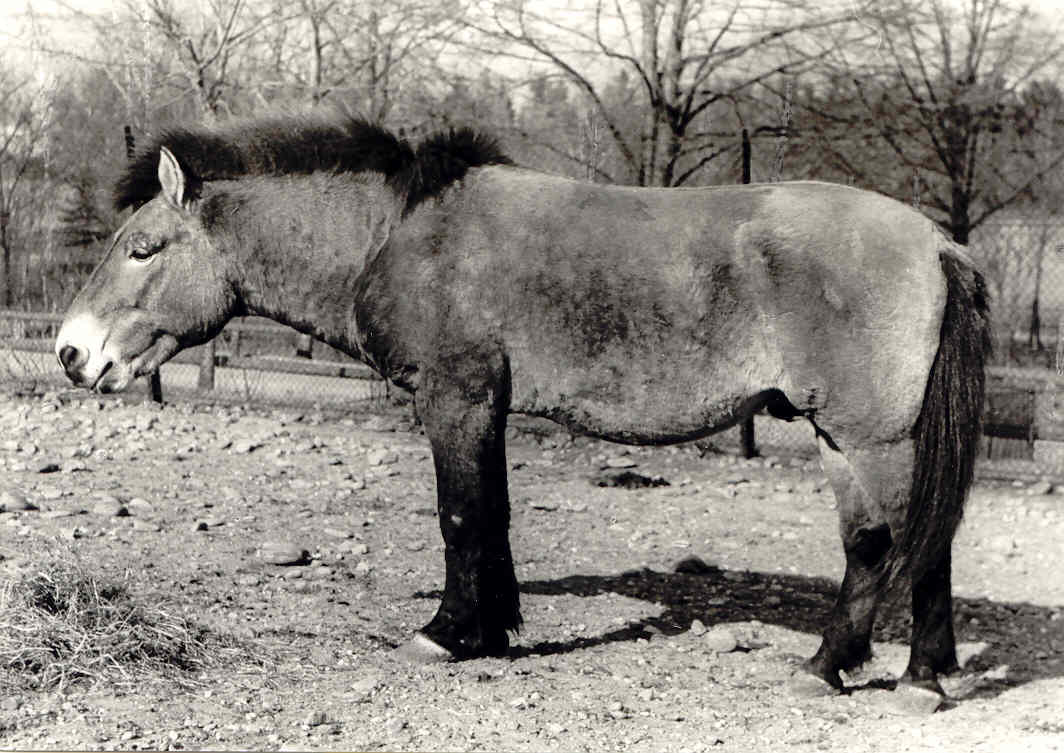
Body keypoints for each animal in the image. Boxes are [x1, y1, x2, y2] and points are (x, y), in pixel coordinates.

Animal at [56, 114, 987, 701]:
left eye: (142, 249)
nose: (71, 352)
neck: (399, 237)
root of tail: (938, 243)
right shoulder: (487, 406)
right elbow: (493, 514)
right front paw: (496, 629)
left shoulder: (456, 397)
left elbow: (461, 516)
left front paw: (447, 633)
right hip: (844, 437)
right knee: (899, 545)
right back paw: (874, 670)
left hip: (874, 436)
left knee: (903, 543)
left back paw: (880, 672)